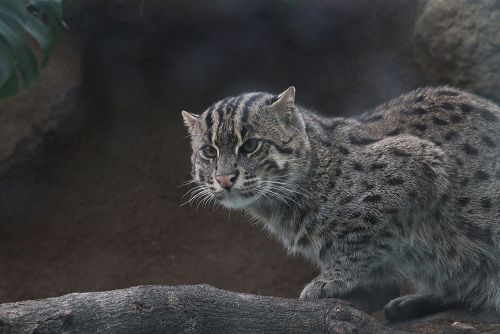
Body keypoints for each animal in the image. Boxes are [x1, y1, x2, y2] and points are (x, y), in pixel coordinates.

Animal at [182, 87, 500, 320]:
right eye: (208, 152)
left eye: (250, 145)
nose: (224, 178)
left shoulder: (420, 166)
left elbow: (365, 236)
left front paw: (331, 279)